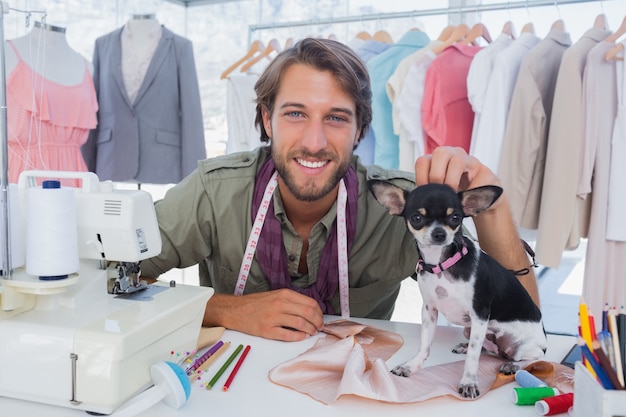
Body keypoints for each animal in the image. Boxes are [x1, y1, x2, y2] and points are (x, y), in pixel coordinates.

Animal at [368, 180, 544, 398]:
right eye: (417, 218)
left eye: (455, 218)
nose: (439, 233)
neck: (442, 265)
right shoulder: (429, 310)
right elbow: (425, 345)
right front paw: (411, 366)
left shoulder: (479, 315)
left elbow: (473, 358)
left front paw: (469, 382)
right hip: (473, 332)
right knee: (488, 349)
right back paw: (467, 347)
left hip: (521, 346)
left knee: (535, 359)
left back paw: (513, 365)